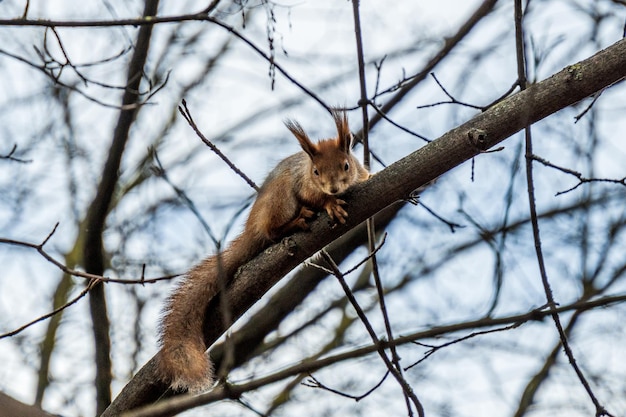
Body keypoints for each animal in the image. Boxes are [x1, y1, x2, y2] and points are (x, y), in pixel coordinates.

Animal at [157, 109, 370, 392]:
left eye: (346, 165)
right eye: (315, 171)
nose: (333, 187)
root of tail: (252, 227)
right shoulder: (302, 184)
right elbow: (314, 198)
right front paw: (329, 203)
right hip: (279, 200)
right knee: (272, 231)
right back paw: (297, 220)